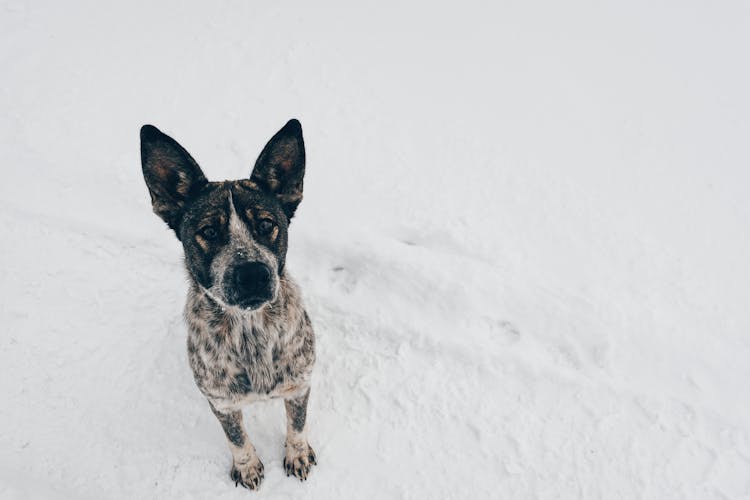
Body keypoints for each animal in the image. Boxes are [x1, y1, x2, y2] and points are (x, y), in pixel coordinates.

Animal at [140, 120, 316, 488]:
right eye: (208, 230)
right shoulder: (221, 402)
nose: (252, 274)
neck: (251, 332)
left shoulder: (299, 386)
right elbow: (236, 438)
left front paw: (297, 454)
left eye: (265, 223)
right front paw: (247, 466)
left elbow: (297, 425)